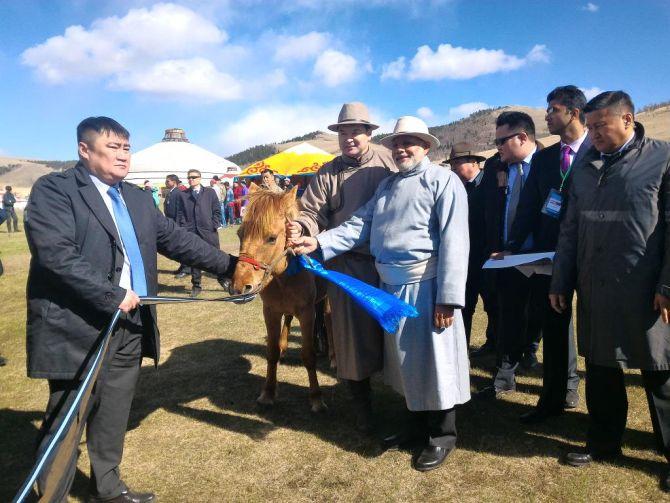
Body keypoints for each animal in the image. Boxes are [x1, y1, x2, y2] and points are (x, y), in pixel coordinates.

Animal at [234, 185, 330, 414]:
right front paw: (268, 393)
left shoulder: (307, 313)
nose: (241, 286)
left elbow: (308, 355)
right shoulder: (270, 311)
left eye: (271, 238)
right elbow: (271, 352)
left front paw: (316, 398)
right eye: (240, 233)